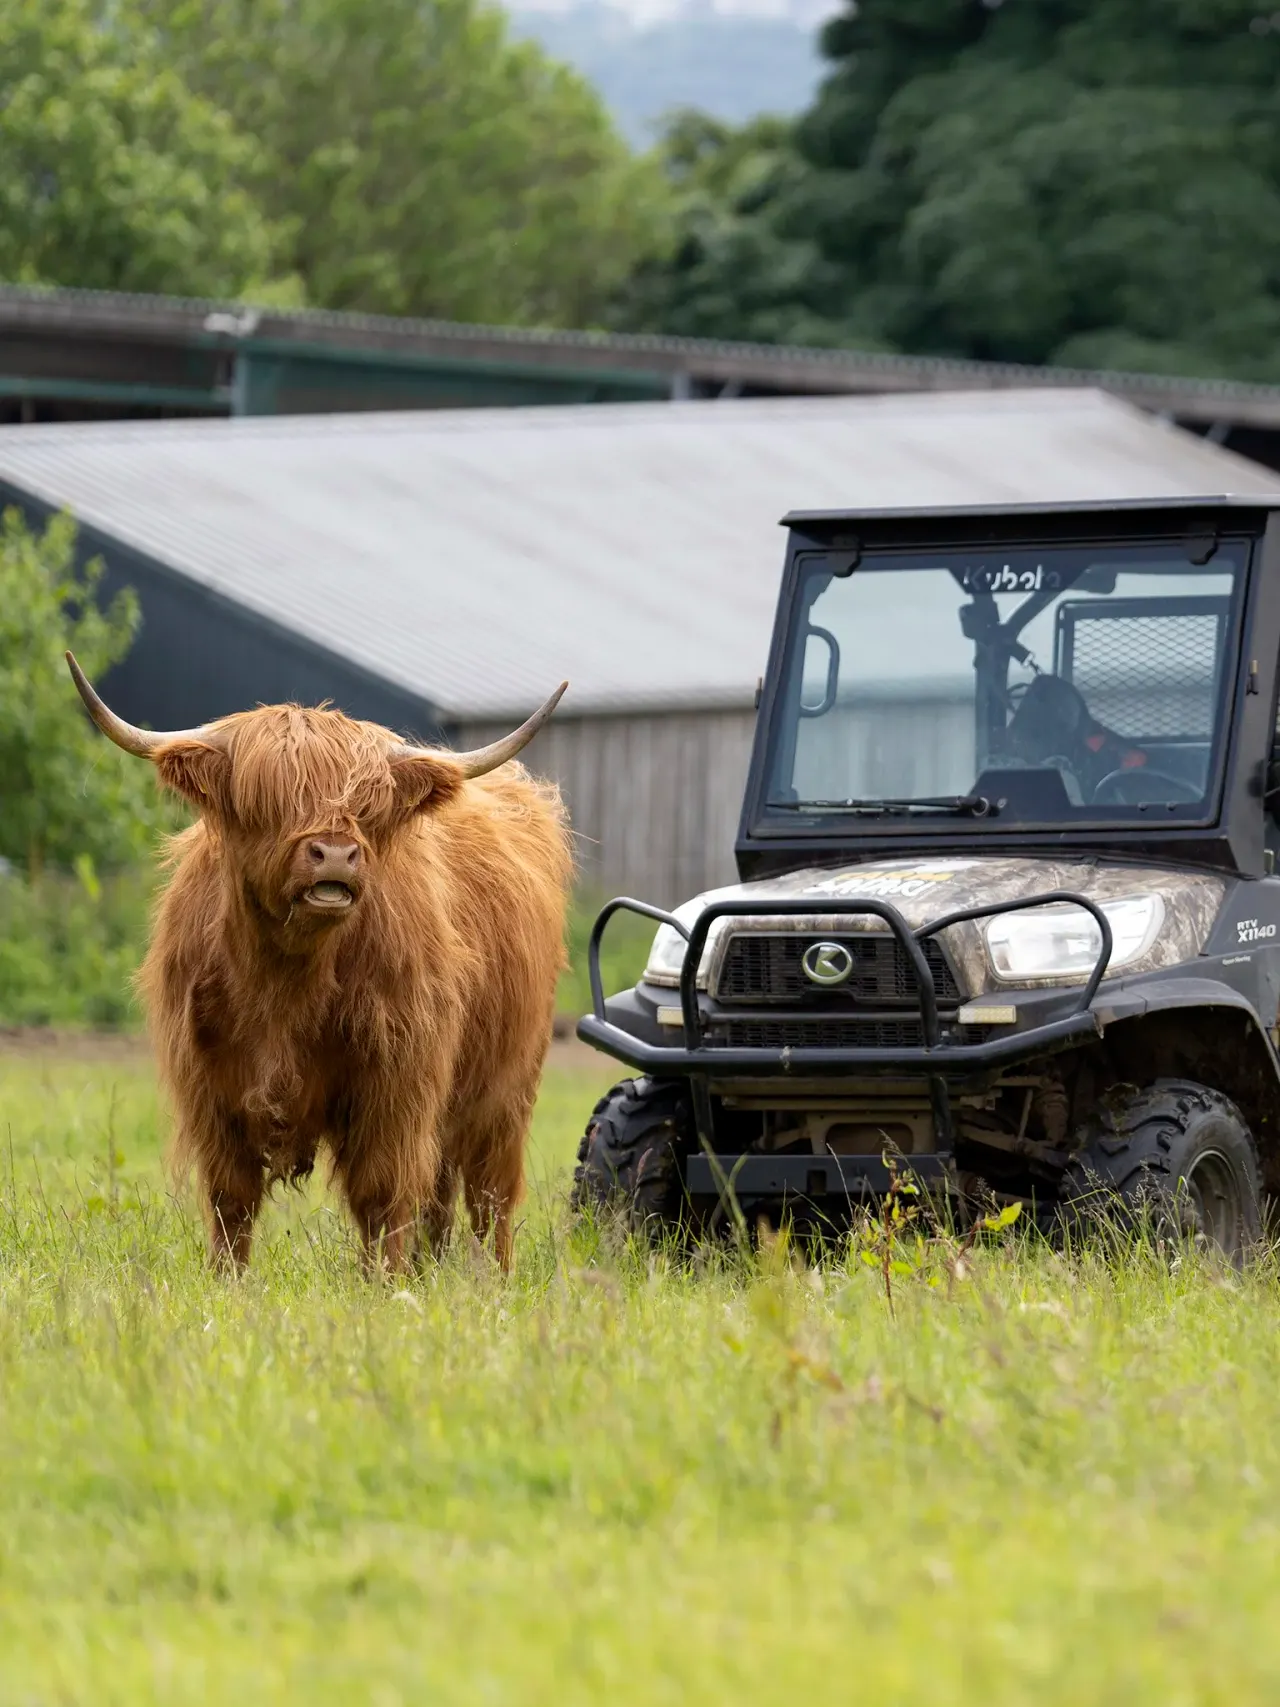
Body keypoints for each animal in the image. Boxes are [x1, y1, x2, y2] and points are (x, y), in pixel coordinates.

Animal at [67, 654, 573, 1274]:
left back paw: (490, 1277)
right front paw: (226, 1281)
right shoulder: (210, 1087)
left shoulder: (397, 1082)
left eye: (365, 807)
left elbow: (383, 1193)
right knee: (441, 1194)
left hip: (505, 1090)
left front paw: (386, 1283)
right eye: (268, 798)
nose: (335, 854)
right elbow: (230, 1198)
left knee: (489, 1192)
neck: (284, 983)